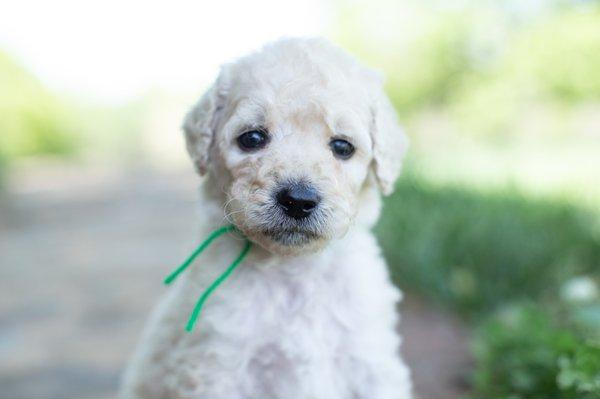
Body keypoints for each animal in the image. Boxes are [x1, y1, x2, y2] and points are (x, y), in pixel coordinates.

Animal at [122, 37, 412, 399]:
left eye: (343, 146)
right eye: (252, 138)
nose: (298, 201)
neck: (293, 271)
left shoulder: (371, 361)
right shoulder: (217, 362)